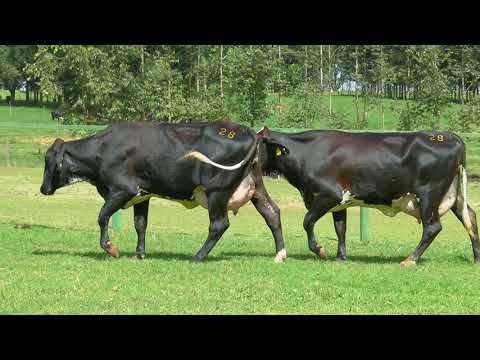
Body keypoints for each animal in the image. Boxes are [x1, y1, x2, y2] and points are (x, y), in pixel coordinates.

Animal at [40, 120, 284, 262]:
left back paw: (197, 256)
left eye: (49, 161)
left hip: (217, 191)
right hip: (255, 187)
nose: (43, 188)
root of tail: (249, 132)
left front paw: (111, 248)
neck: (103, 150)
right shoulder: (142, 194)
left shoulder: (122, 190)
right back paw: (280, 254)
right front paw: (139, 253)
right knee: (272, 213)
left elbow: (102, 217)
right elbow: (140, 224)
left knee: (219, 225)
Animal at [258, 127, 480, 268]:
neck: (306, 152)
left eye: (257, 144)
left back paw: (410, 259)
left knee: (433, 227)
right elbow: (340, 228)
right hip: (453, 195)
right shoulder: (340, 202)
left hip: (428, 195)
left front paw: (320, 250)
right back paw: (477, 258)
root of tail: (446, 135)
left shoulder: (329, 194)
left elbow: (307, 221)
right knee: (470, 217)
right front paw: (341, 257)